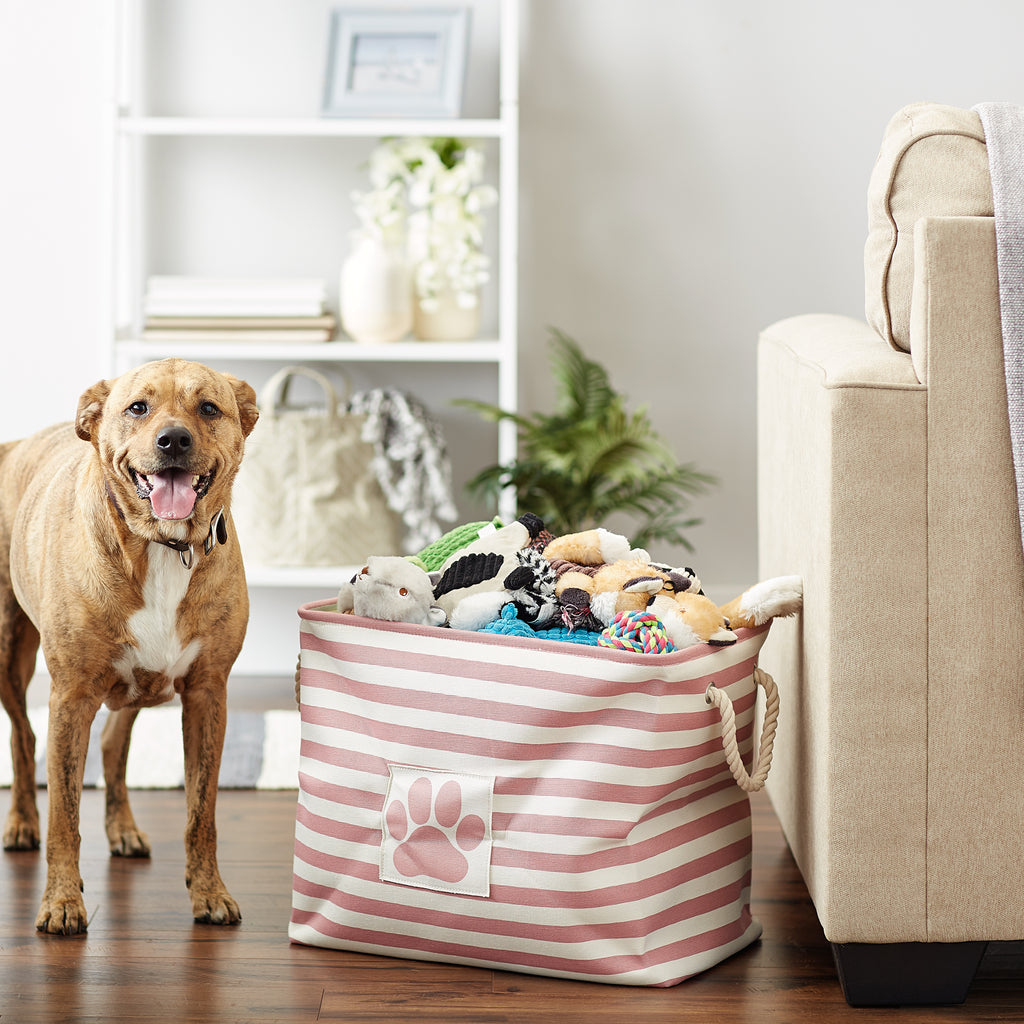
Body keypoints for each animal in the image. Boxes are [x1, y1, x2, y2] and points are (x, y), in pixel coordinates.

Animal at [1, 360, 256, 937]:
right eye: (138, 407)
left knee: (114, 744)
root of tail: (15, 444)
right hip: (8, 651)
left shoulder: (207, 694)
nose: (173, 439)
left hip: (140, 685)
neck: (159, 547)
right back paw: (22, 823)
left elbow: (201, 812)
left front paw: (210, 893)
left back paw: (121, 828)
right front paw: (61, 902)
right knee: (24, 738)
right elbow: (65, 815)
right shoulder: (71, 697)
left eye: (209, 408)